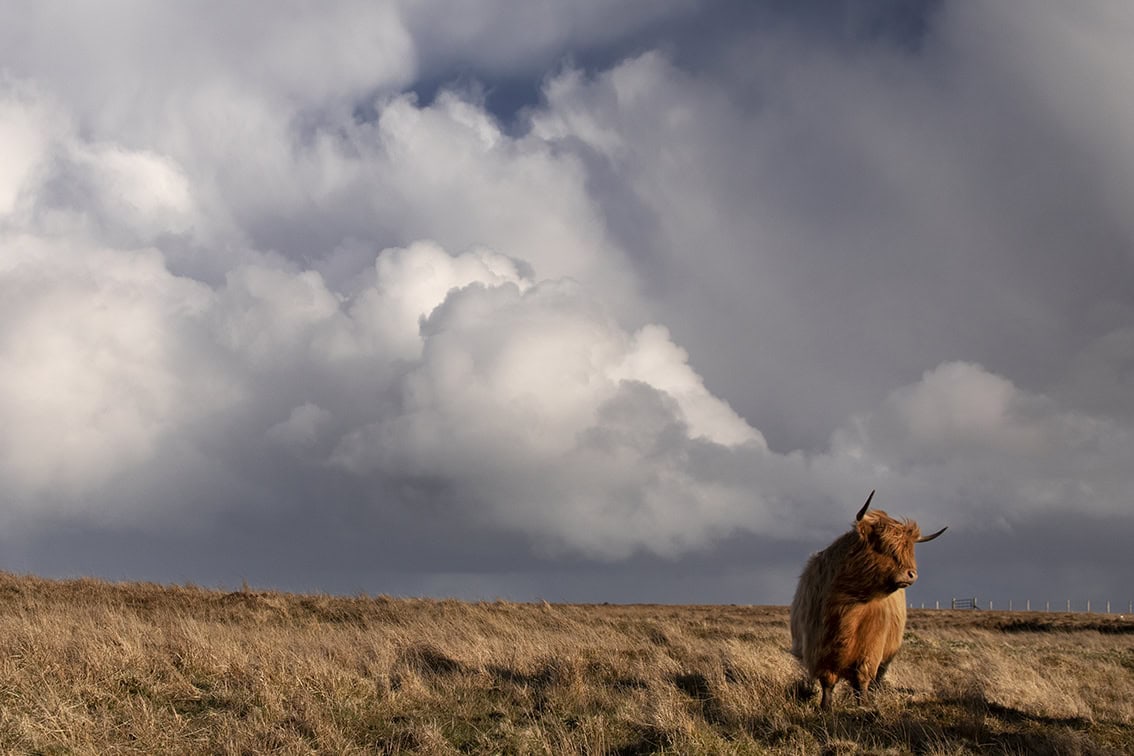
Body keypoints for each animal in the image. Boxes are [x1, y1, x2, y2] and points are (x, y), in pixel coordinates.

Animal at [789, 491, 948, 711]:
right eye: (883, 546)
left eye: (909, 549)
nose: (911, 575)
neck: (848, 607)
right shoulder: (818, 649)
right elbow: (827, 681)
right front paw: (825, 707)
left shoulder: (870, 649)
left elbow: (862, 680)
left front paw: (863, 706)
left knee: (876, 679)